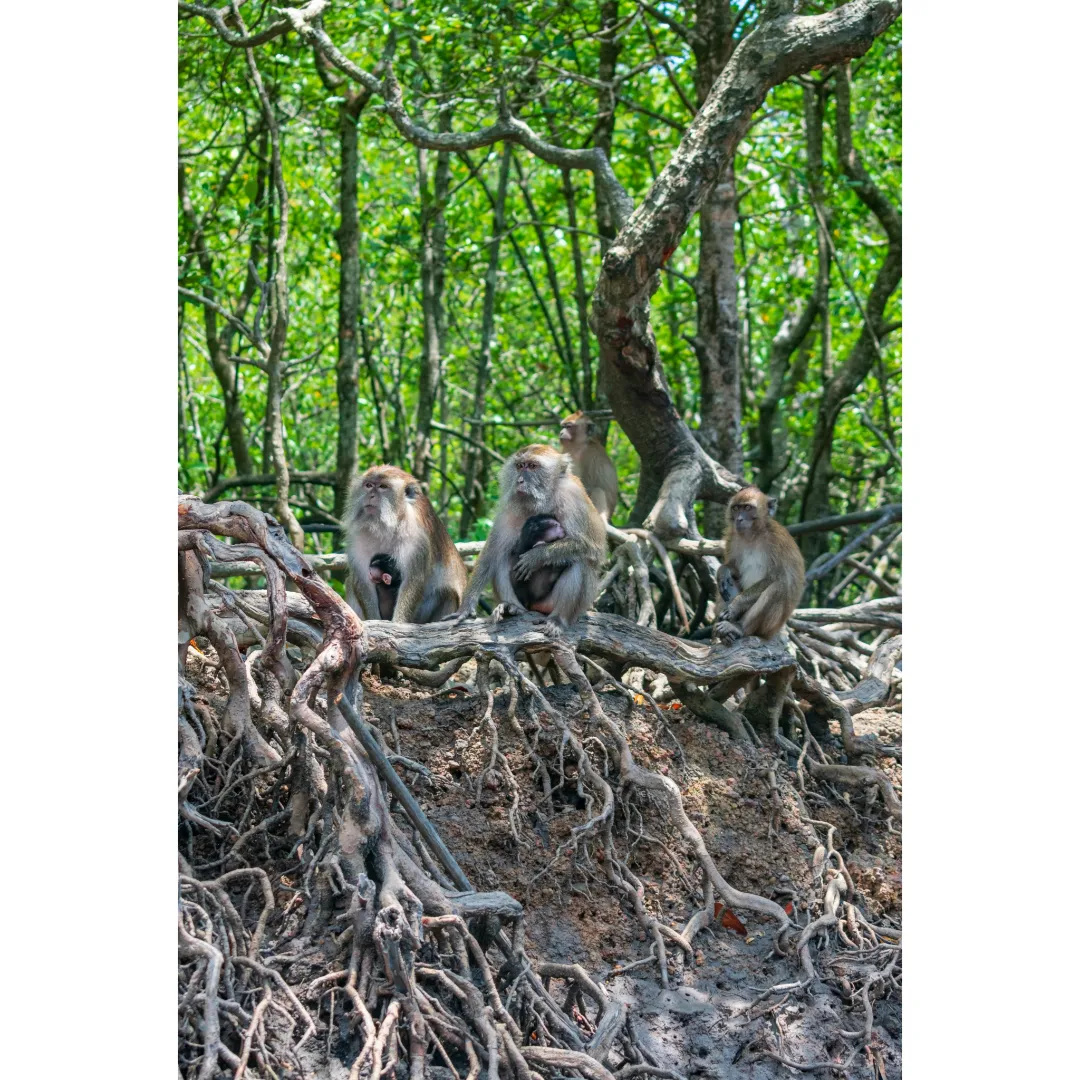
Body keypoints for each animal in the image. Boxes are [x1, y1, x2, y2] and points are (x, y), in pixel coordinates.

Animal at [344, 465, 467, 623]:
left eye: (383, 487)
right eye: (369, 485)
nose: (370, 495)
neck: (389, 525)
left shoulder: (417, 540)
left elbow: (412, 582)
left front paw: (398, 623)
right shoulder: (358, 537)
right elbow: (363, 580)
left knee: (447, 594)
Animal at [451, 445, 607, 627]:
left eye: (532, 466)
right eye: (520, 466)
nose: (519, 481)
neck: (545, 499)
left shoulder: (572, 499)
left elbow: (591, 548)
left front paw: (537, 556)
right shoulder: (510, 508)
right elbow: (491, 553)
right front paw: (466, 607)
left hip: (553, 604)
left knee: (579, 561)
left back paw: (558, 619)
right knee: (501, 557)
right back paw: (512, 608)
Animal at [714, 486, 805, 644]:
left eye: (748, 507)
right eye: (736, 508)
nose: (739, 519)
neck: (753, 535)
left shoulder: (777, 543)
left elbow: (775, 578)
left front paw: (735, 606)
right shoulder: (732, 537)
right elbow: (734, 568)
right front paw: (723, 571)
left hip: (770, 626)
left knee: (779, 587)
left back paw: (738, 627)